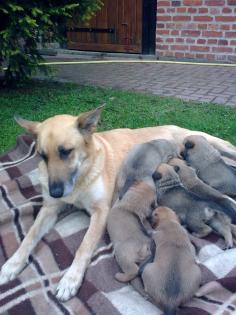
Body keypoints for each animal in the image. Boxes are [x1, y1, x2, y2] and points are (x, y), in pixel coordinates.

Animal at [1, 105, 236, 302]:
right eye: (42, 155)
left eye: (66, 151)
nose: (56, 192)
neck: (82, 175)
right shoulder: (50, 209)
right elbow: (29, 237)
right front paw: (12, 265)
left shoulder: (100, 212)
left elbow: (84, 246)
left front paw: (70, 279)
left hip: (213, 143)